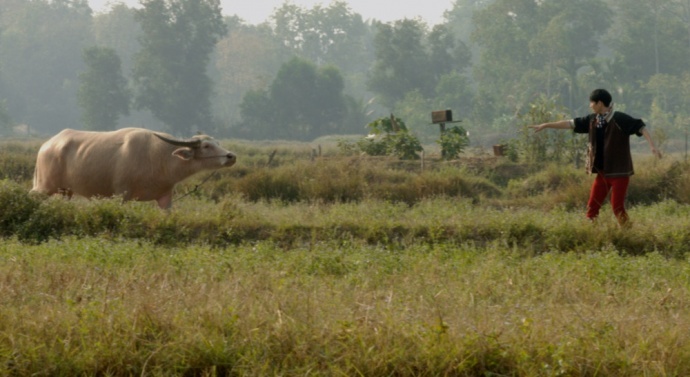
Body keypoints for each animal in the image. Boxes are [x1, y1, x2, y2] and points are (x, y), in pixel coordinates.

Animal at [31, 128, 236, 207]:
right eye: (206, 146)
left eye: (217, 143)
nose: (231, 156)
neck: (159, 157)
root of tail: (46, 145)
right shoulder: (122, 194)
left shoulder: (165, 198)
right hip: (44, 186)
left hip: (66, 191)